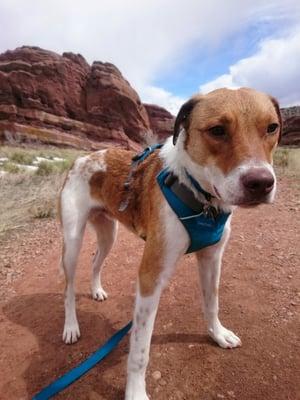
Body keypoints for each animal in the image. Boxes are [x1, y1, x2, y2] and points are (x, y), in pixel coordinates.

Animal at [58, 88, 282, 400]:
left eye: (272, 128)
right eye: (217, 130)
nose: (261, 183)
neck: (202, 199)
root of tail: (84, 158)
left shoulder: (212, 259)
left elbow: (212, 303)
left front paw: (217, 334)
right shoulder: (150, 277)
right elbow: (140, 351)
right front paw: (136, 392)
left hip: (108, 234)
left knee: (95, 261)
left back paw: (97, 290)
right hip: (72, 240)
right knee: (68, 288)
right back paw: (70, 326)